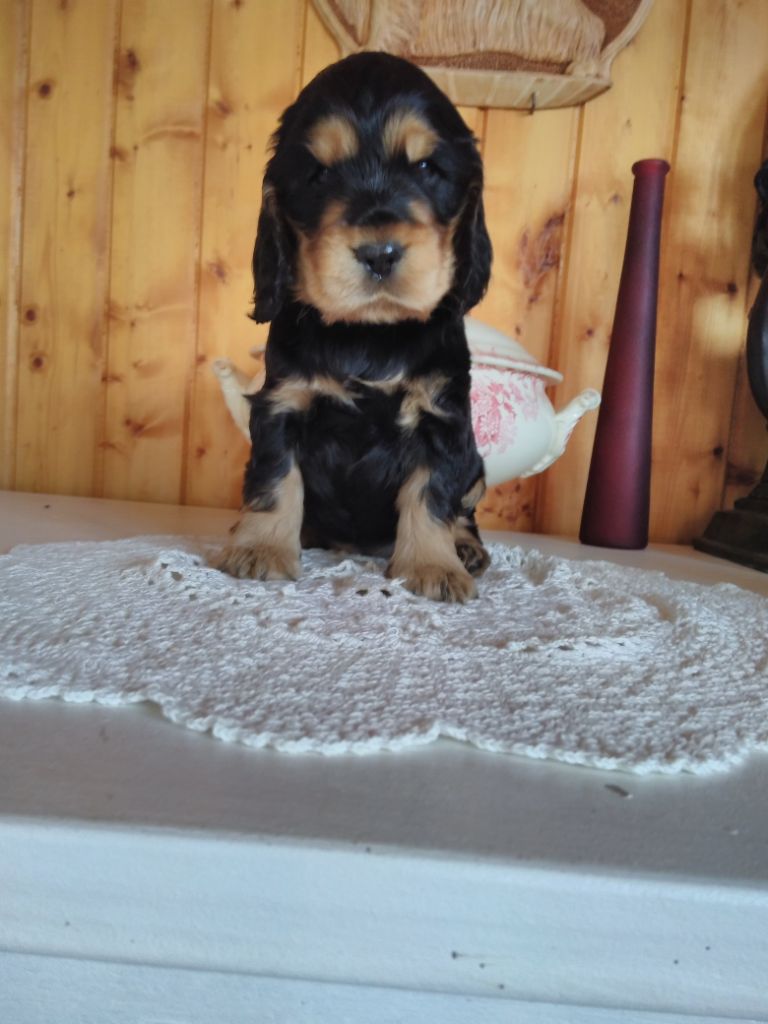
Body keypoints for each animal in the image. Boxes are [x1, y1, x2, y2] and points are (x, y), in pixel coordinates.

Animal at [218, 52, 492, 602]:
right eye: (319, 175)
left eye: (427, 168)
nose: (379, 253)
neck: (370, 334)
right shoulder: (283, 405)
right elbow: (274, 479)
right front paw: (261, 548)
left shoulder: (441, 419)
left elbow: (433, 494)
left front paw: (433, 566)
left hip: (477, 466)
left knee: (464, 509)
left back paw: (464, 549)